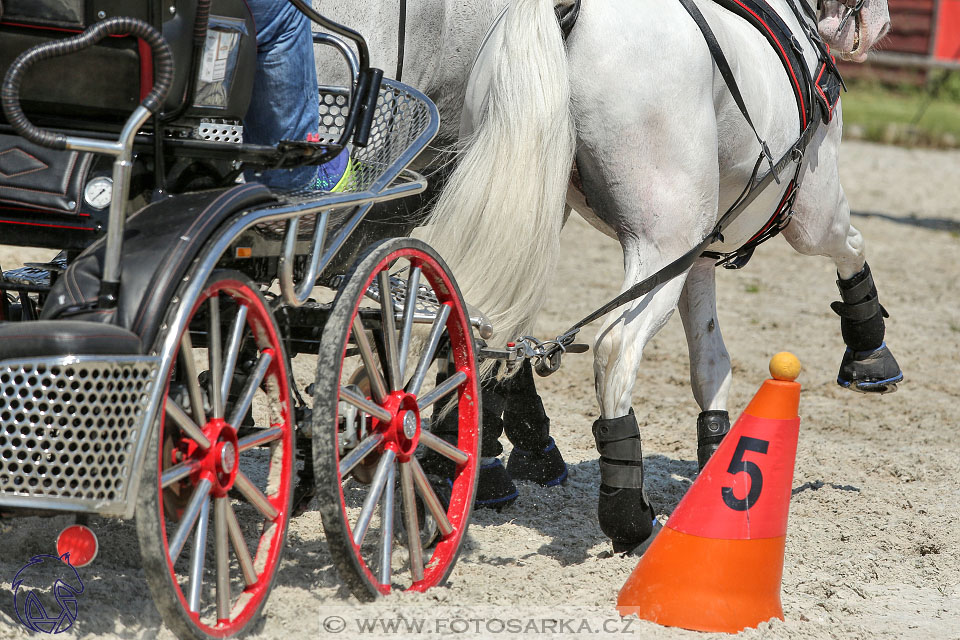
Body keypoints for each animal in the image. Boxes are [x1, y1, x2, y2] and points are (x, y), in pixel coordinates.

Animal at [420, 0, 900, 552]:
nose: (876, 25)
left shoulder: (700, 256)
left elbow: (711, 363)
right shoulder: (812, 212)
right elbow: (852, 247)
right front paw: (870, 352)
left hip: (533, 214)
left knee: (473, 324)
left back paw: (446, 471)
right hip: (663, 241)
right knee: (614, 348)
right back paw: (627, 516)